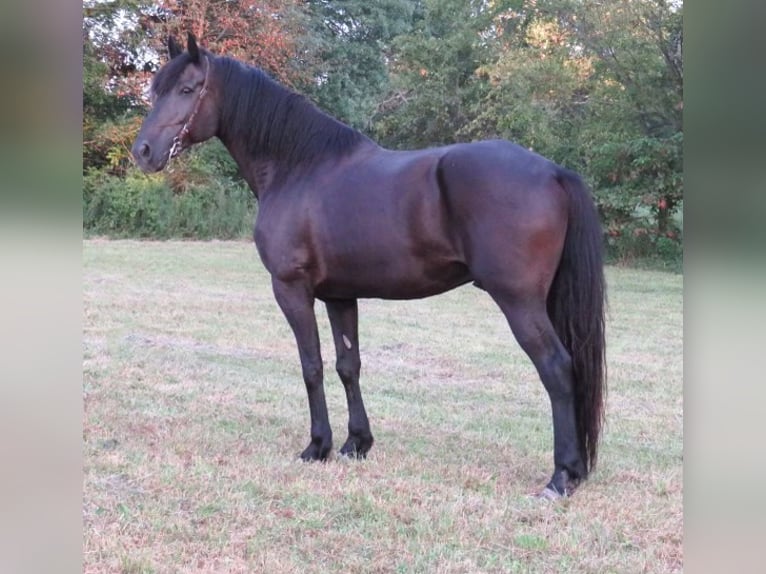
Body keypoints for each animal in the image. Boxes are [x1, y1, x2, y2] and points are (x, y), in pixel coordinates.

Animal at [135, 35, 608, 500]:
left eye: (187, 89)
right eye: (156, 90)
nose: (142, 151)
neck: (299, 168)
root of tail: (553, 171)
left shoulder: (291, 288)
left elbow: (311, 366)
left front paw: (317, 446)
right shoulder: (340, 295)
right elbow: (348, 365)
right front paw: (355, 443)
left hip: (519, 301)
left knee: (557, 368)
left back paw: (560, 477)